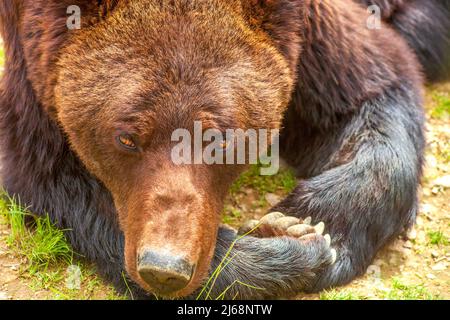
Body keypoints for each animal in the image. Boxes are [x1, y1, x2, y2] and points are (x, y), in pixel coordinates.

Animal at [0, 0, 448, 300]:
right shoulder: (37, 66)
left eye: (217, 139)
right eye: (126, 137)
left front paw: (307, 224)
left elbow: (370, 96)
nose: (164, 268)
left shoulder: (314, 38)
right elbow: (53, 175)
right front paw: (284, 247)